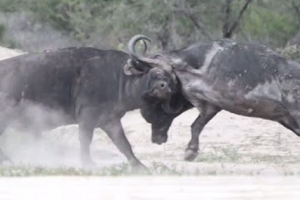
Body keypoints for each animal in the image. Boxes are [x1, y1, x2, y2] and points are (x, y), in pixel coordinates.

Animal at [125, 34, 300, 162]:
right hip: (287, 119)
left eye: (156, 76)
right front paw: (191, 151)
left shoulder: (209, 98)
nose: (145, 112)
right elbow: (196, 125)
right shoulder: (212, 105)